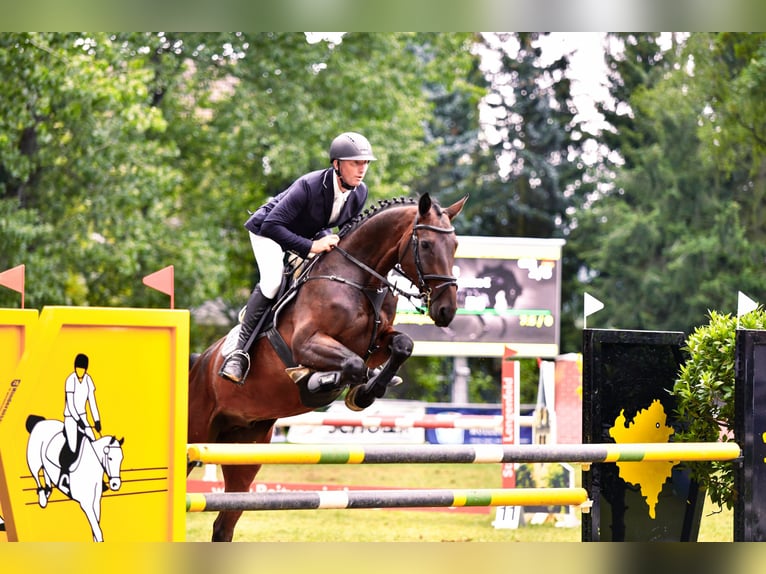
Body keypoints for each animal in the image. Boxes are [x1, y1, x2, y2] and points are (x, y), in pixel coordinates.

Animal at [188, 192, 467, 541]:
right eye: (427, 244)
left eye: (455, 245)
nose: (446, 311)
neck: (359, 279)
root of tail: (199, 363)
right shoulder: (306, 343)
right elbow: (351, 363)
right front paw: (320, 381)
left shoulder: (378, 343)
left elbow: (401, 347)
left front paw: (363, 393)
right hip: (197, 432)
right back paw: (239, 366)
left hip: (245, 448)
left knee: (225, 523)